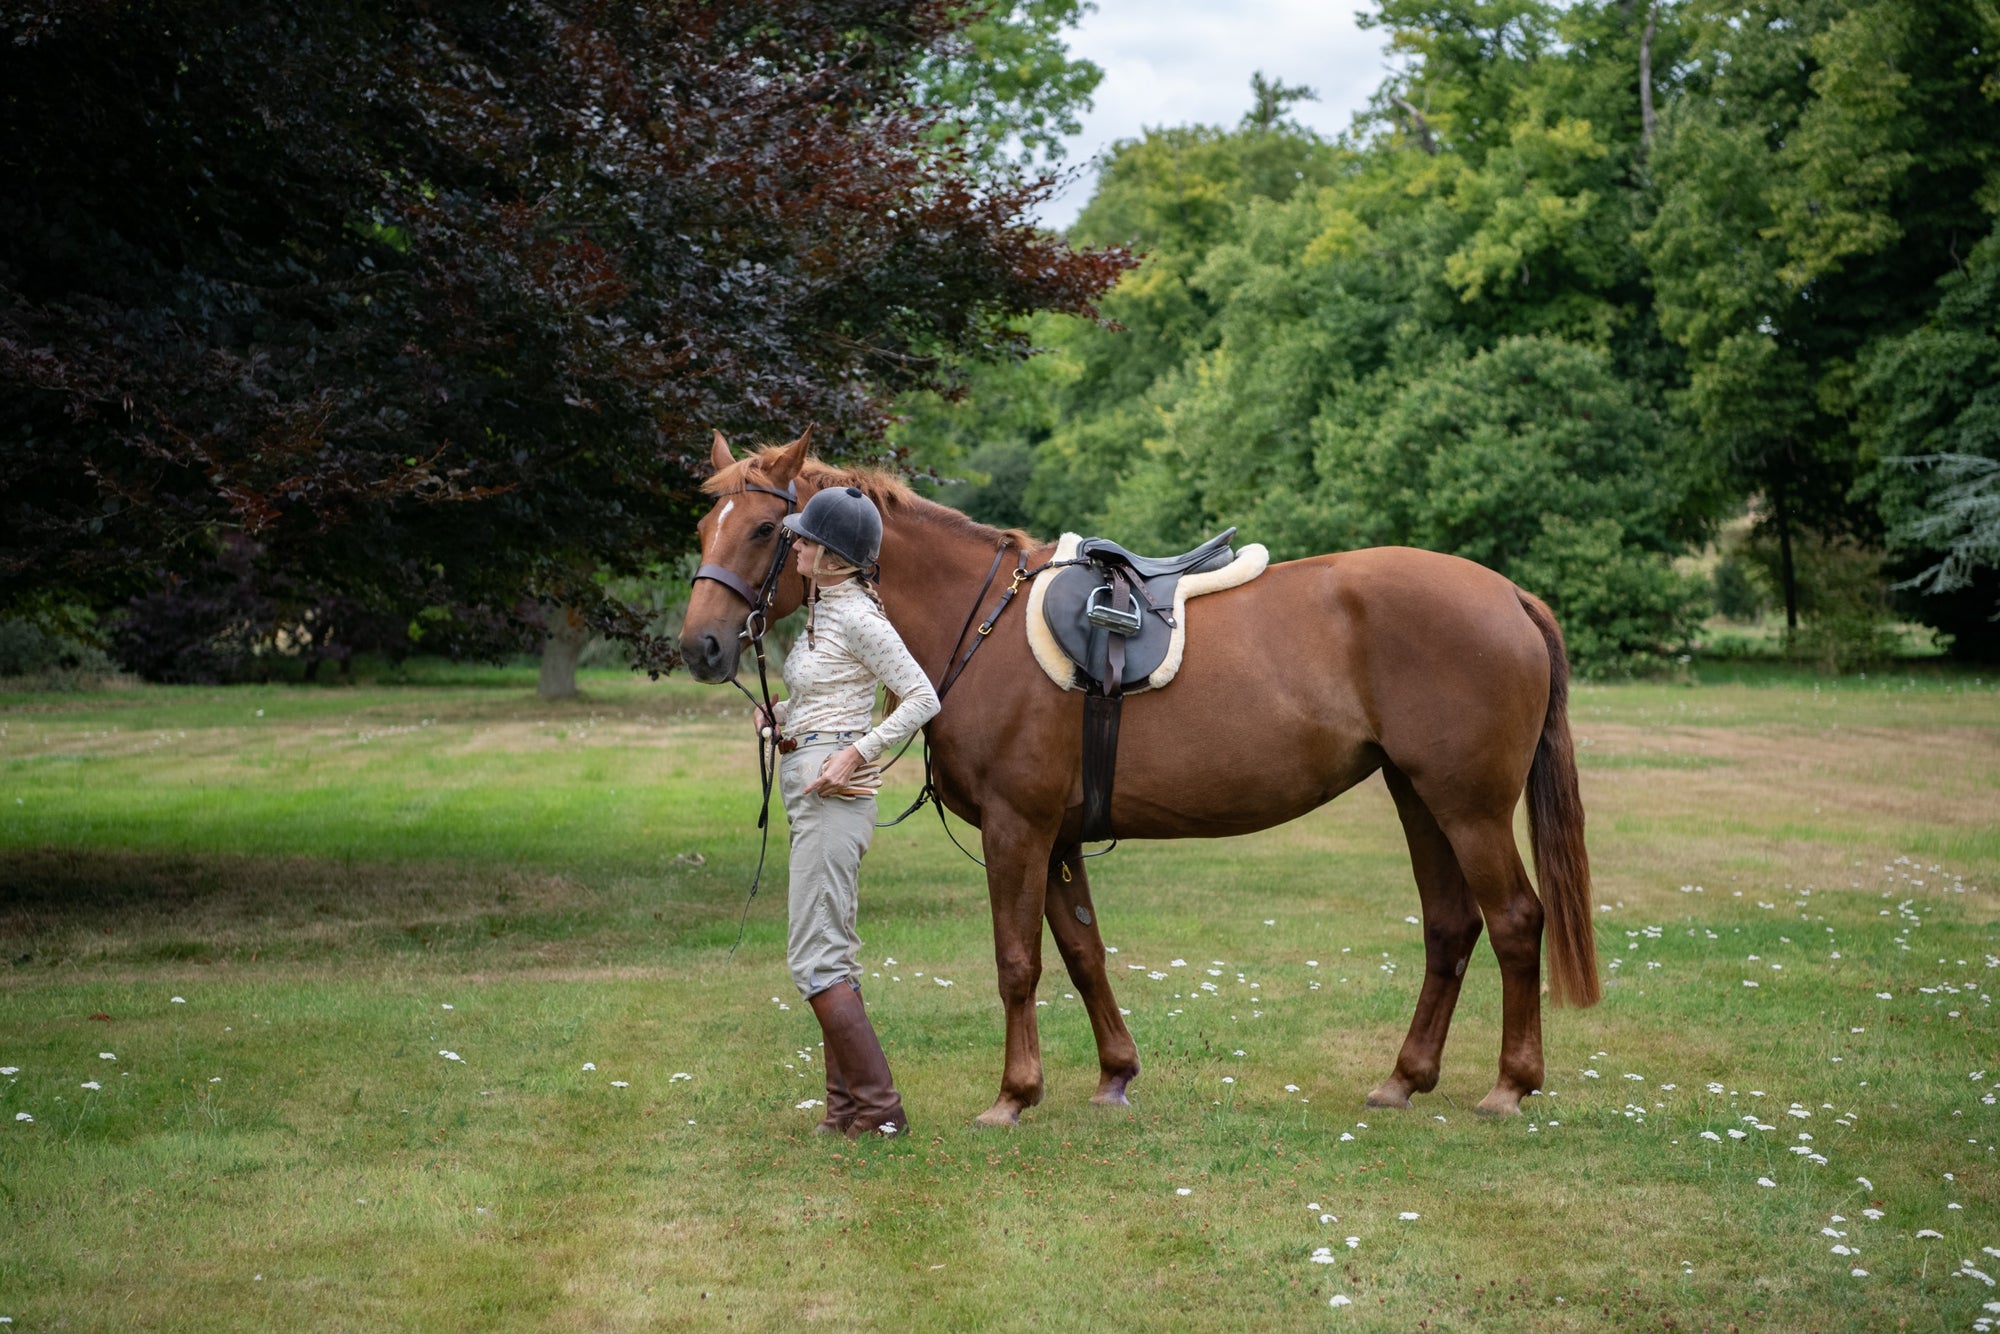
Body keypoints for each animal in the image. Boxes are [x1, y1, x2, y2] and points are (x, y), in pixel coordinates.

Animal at [680, 434, 1600, 1136]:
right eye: (703, 525)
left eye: (765, 528)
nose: (701, 648)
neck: (976, 623)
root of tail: (1507, 595)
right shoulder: (1056, 836)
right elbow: (1084, 953)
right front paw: (1115, 1076)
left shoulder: (1016, 828)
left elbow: (1018, 961)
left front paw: (1013, 1096)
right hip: (1421, 798)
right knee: (1450, 928)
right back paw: (1404, 1079)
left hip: (1469, 807)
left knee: (1515, 922)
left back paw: (1511, 1084)